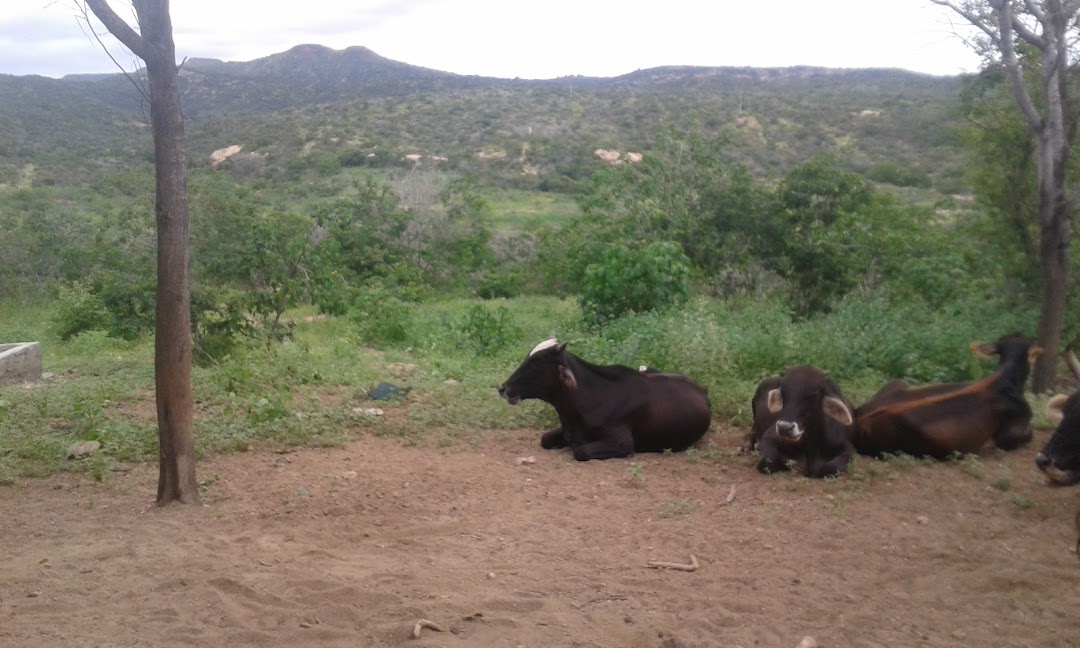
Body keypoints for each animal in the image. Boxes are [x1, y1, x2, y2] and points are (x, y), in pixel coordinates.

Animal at [498, 339, 717, 460]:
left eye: (536, 363)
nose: (503, 388)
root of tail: (702, 389)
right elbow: (545, 439)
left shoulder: (623, 444)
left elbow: (581, 451)